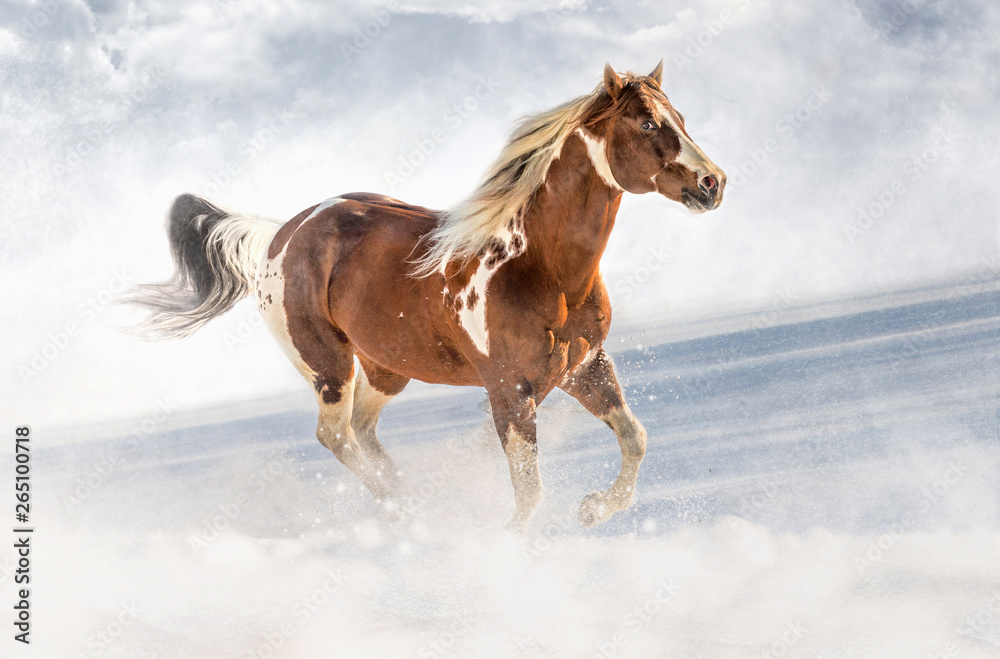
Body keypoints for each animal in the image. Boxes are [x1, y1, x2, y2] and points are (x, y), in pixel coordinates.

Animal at [129, 62, 726, 530]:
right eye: (647, 122)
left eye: (681, 118)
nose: (712, 183)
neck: (539, 266)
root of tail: (281, 235)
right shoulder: (509, 392)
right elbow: (530, 496)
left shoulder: (585, 367)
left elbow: (635, 437)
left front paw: (594, 508)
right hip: (328, 368)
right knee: (335, 436)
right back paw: (407, 512)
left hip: (388, 367)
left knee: (362, 430)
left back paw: (414, 503)